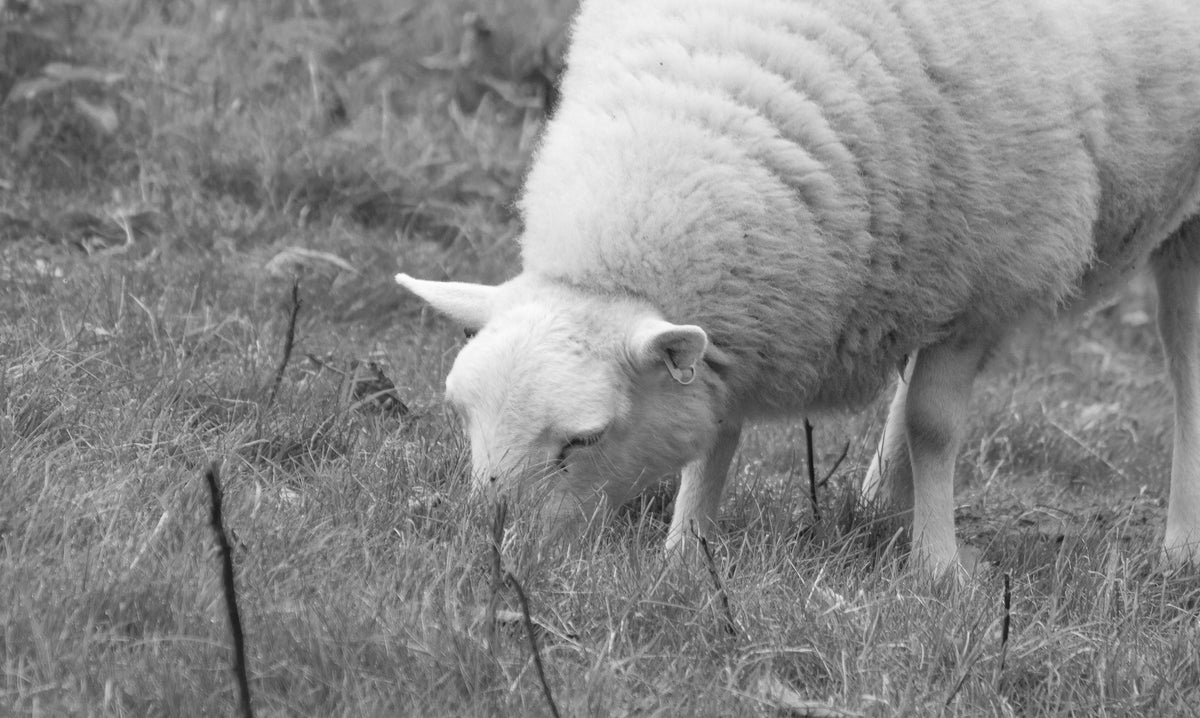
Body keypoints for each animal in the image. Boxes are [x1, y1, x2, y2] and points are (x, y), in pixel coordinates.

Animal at [397, 0, 1200, 574]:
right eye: (460, 413)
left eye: (584, 437)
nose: (497, 554)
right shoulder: (738, 328)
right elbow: (714, 434)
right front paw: (684, 553)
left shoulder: (991, 280)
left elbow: (935, 425)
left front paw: (938, 570)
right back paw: (879, 498)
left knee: (1187, 365)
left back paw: (1179, 550)